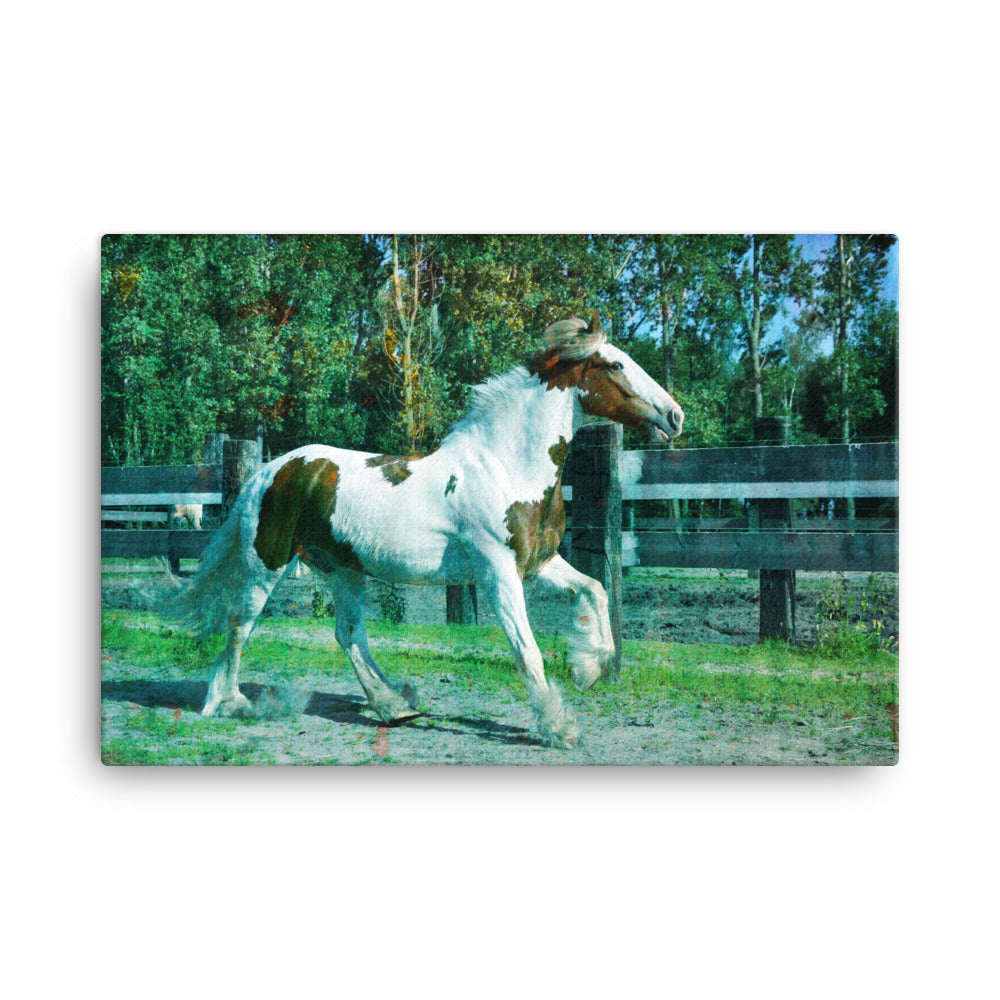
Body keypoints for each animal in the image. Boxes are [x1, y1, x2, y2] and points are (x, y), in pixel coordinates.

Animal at [162, 312, 684, 747]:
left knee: (349, 634)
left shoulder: (539, 563)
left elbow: (595, 589)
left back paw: (394, 705)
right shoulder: (497, 572)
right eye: (616, 364)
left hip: (342, 569)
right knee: (240, 624)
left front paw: (589, 668)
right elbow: (527, 650)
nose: (675, 415)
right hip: (267, 563)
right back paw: (228, 703)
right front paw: (559, 727)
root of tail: (268, 471)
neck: (505, 467)